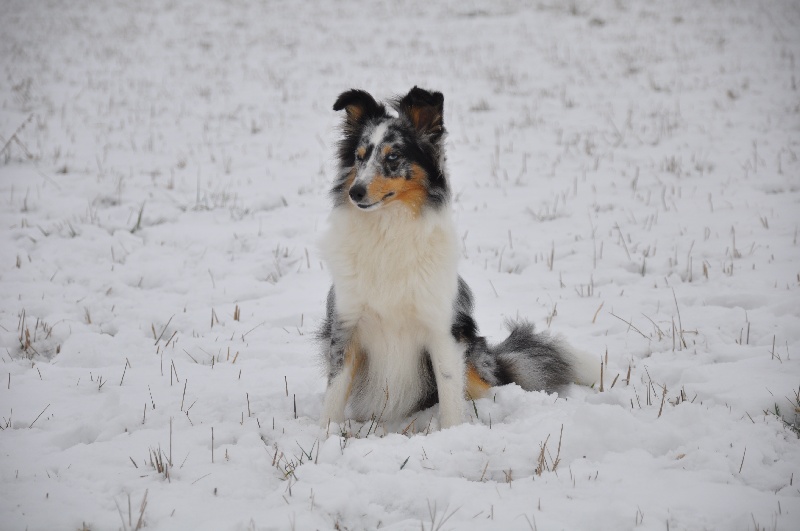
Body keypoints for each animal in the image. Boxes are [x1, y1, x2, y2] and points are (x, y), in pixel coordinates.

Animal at [316, 85, 596, 430]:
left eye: (393, 157)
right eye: (359, 156)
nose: (355, 192)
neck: (388, 229)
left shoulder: (442, 329)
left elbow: (450, 391)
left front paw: (450, 433)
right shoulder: (345, 326)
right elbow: (334, 393)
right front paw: (325, 435)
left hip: (471, 352)